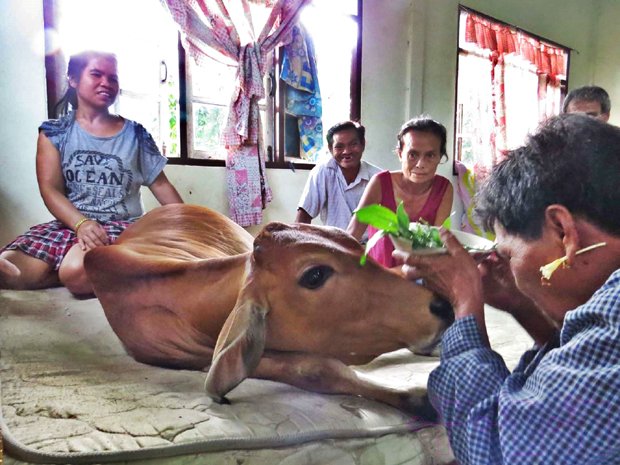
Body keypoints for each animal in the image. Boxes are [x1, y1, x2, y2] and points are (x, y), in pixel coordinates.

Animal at [84, 204, 454, 420]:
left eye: (350, 242)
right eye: (315, 275)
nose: (442, 305)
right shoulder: (197, 357)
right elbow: (316, 369)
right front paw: (418, 400)